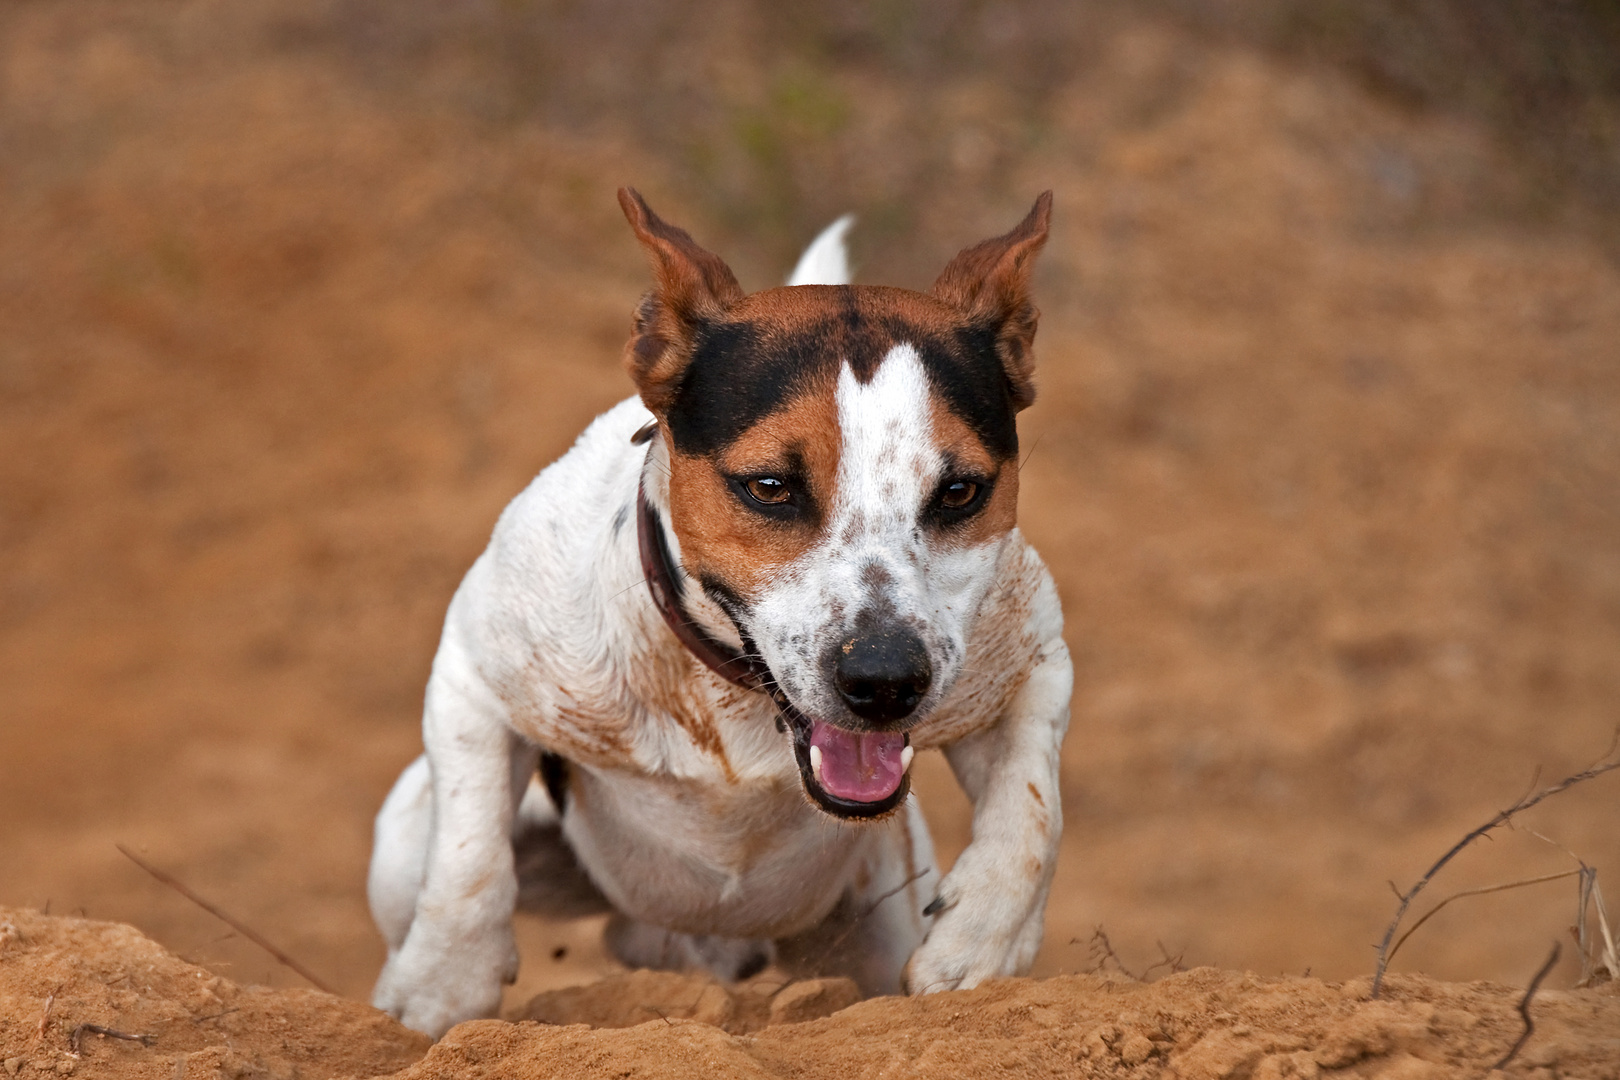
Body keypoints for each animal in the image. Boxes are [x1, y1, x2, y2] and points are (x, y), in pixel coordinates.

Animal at [369, 191, 1075, 1036]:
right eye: (769, 486)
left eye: (961, 490)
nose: (885, 682)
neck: (730, 695)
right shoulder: (475, 673)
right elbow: (468, 856)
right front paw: (439, 989)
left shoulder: (1028, 659)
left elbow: (1033, 807)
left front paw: (983, 943)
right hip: (405, 840)